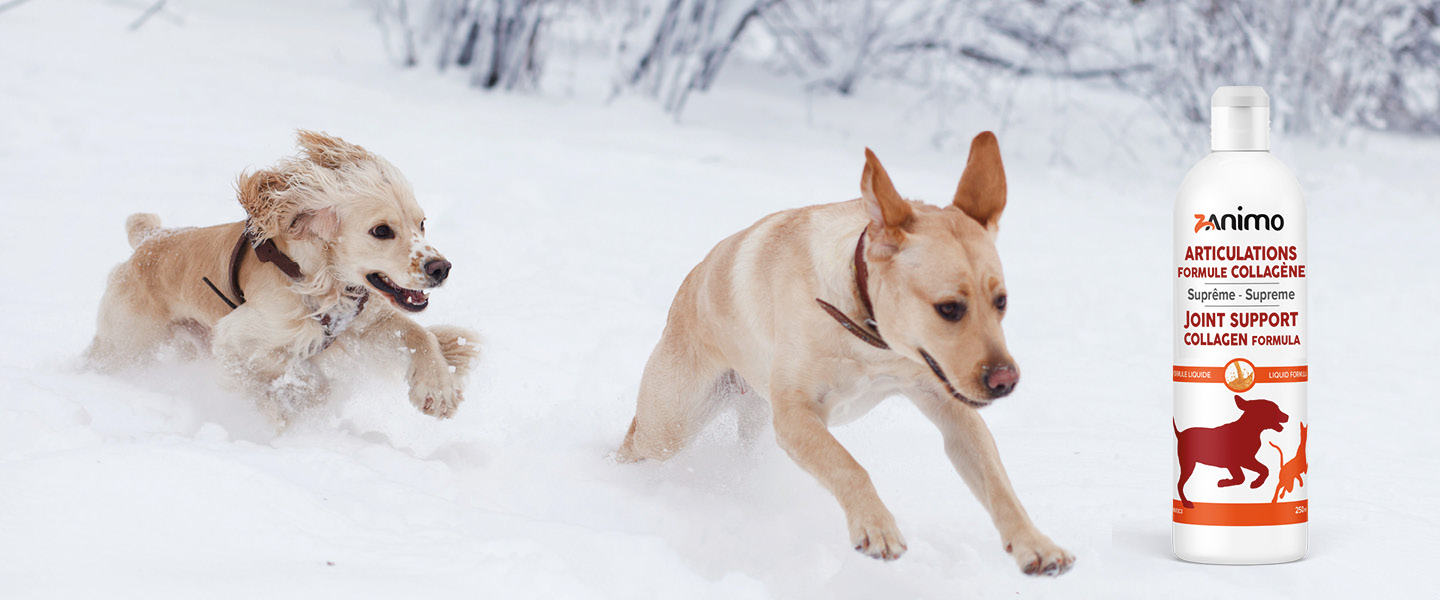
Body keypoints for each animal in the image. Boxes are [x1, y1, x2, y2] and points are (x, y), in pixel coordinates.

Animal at [87, 130, 480, 423]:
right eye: (381, 231)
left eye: (422, 223)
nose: (440, 268)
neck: (319, 279)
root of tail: (149, 239)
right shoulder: (238, 338)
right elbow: (293, 372)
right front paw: (293, 402)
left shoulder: (364, 322)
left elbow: (418, 333)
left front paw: (438, 390)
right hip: (126, 342)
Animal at [613, 132, 1077, 575]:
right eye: (949, 308)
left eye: (1001, 302)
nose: (1005, 381)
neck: (867, 329)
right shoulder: (796, 415)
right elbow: (848, 465)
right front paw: (876, 526)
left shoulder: (949, 405)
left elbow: (998, 482)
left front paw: (1035, 543)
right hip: (670, 426)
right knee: (636, 441)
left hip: (754, 422)